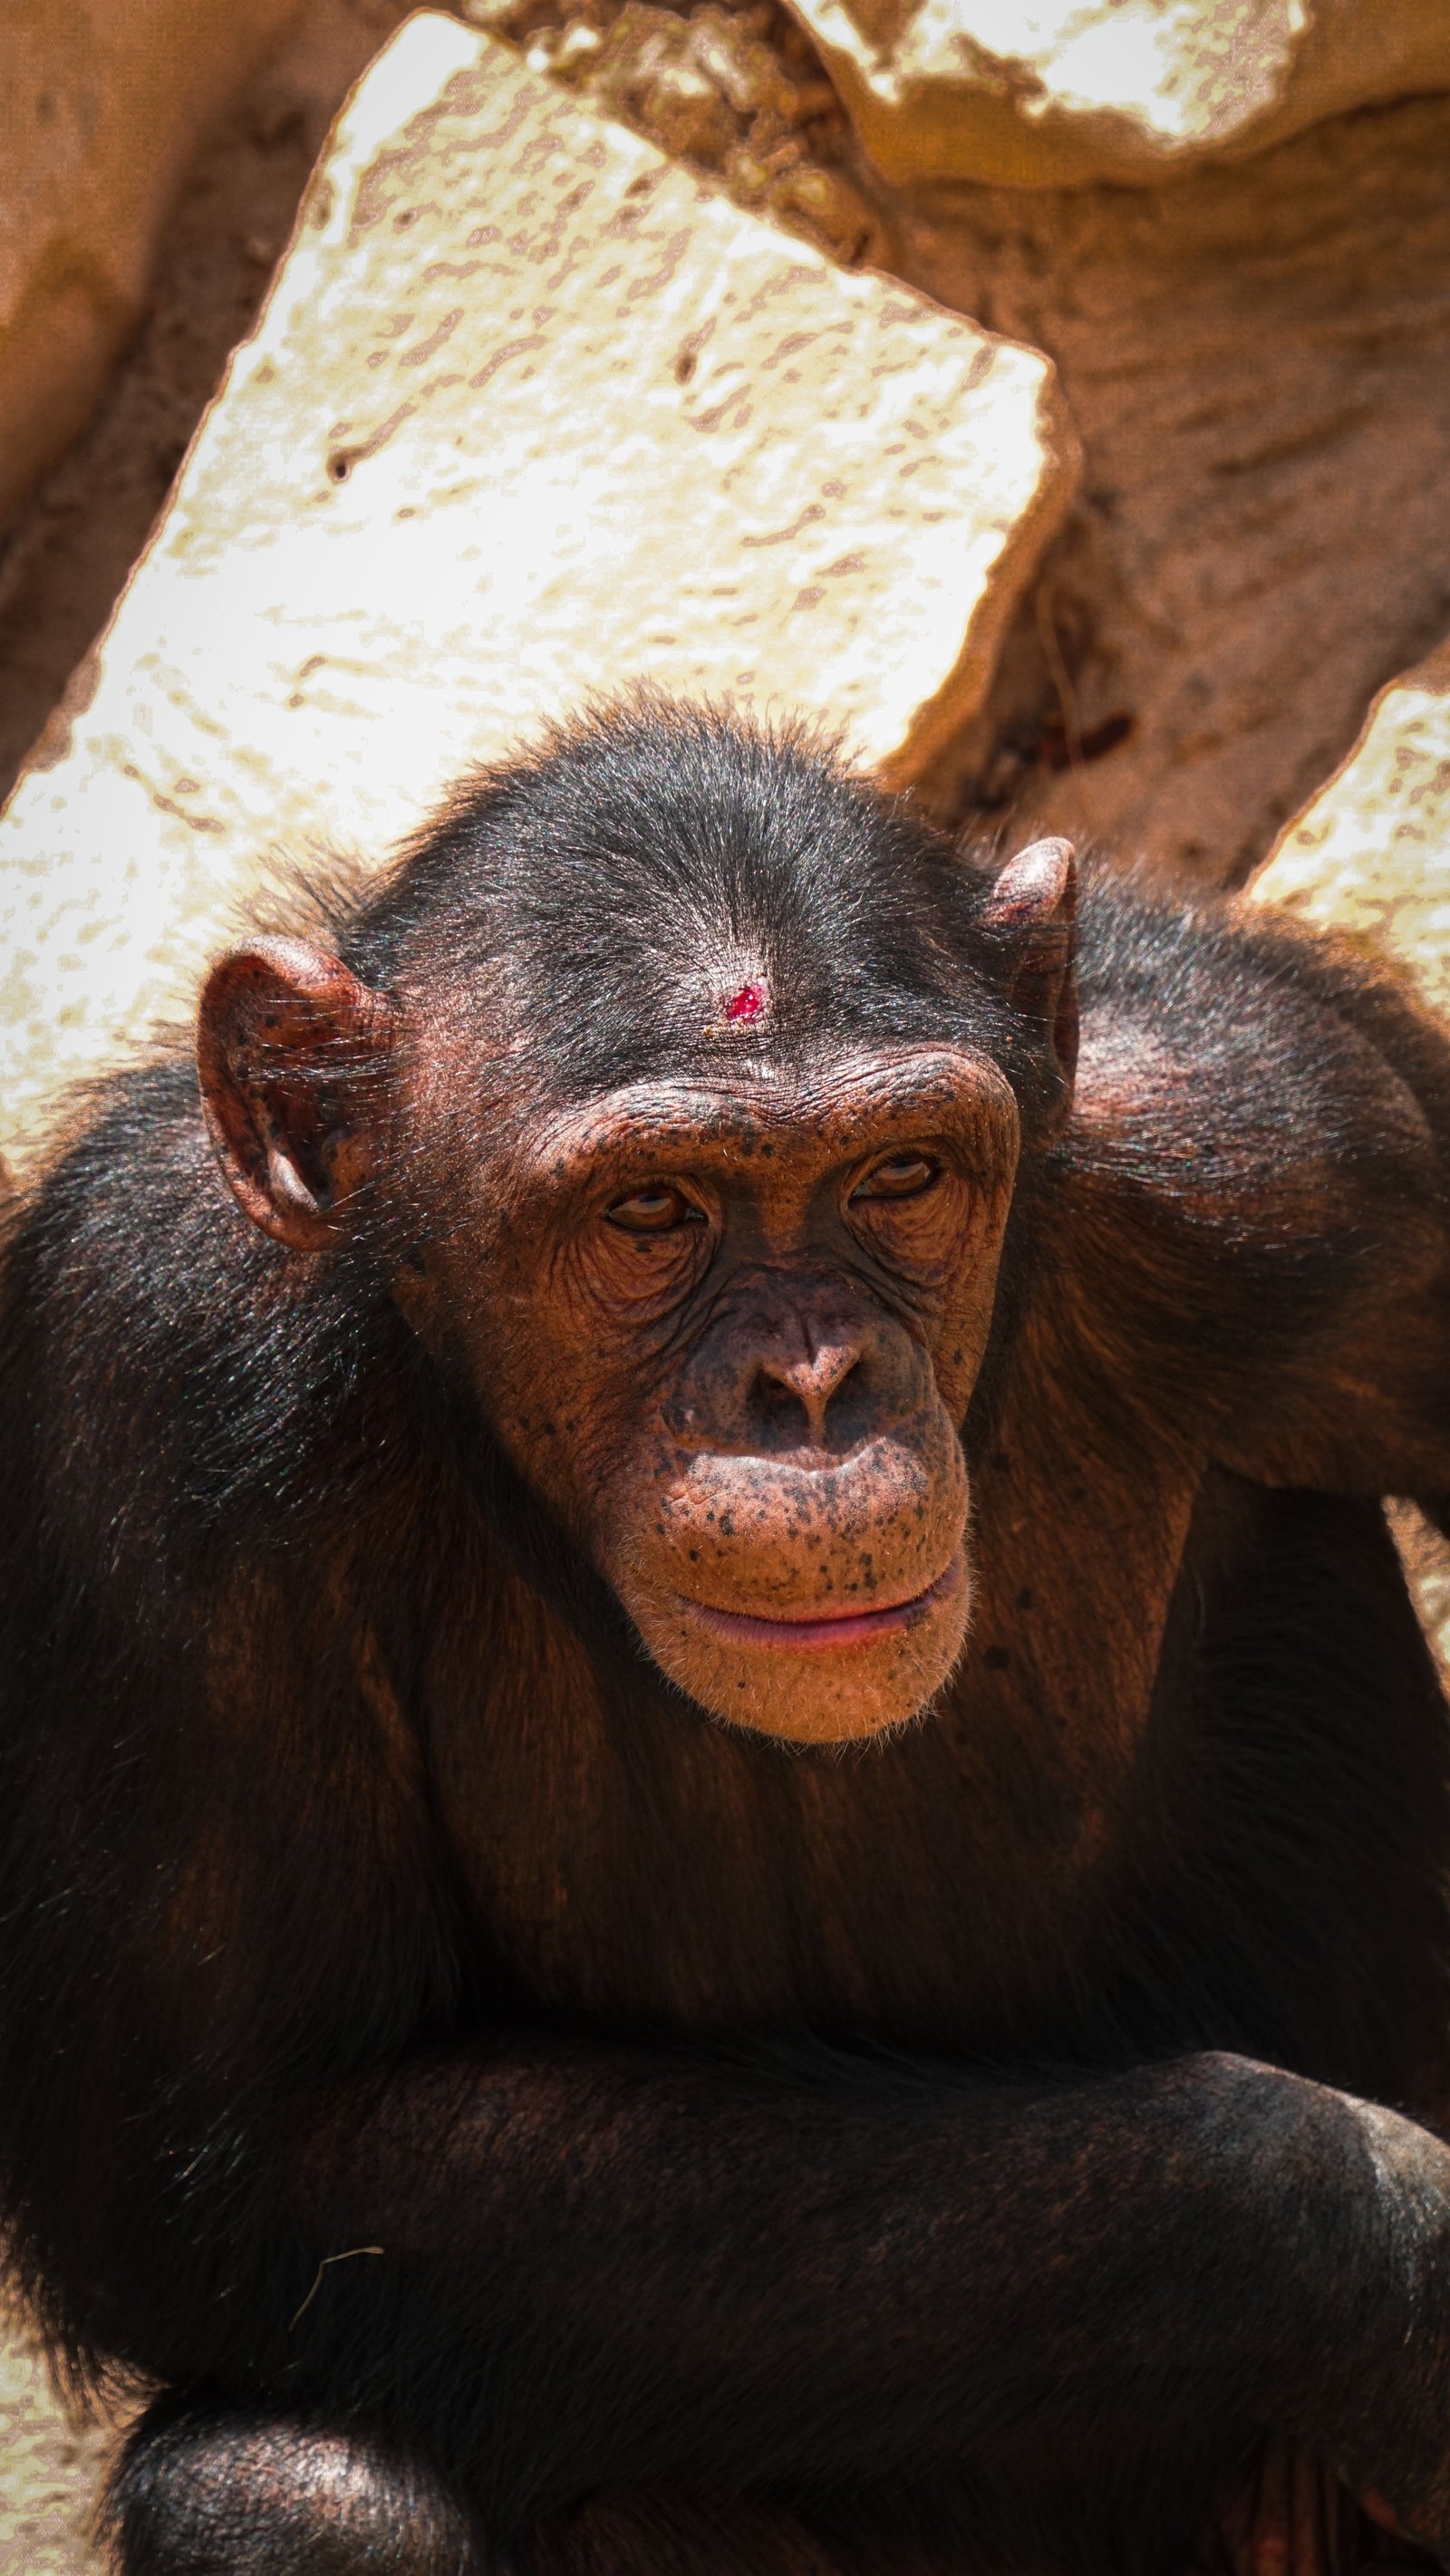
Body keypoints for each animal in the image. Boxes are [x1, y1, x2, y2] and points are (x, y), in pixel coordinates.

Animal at [5, 695, 1450, 2576]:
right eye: (651, 1210)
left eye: (900, 1174)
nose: (812, 1384)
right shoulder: (136, 1362)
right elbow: (245, 2139)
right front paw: (1376, 2242)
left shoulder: (1309, 1140)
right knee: (290, 2490)